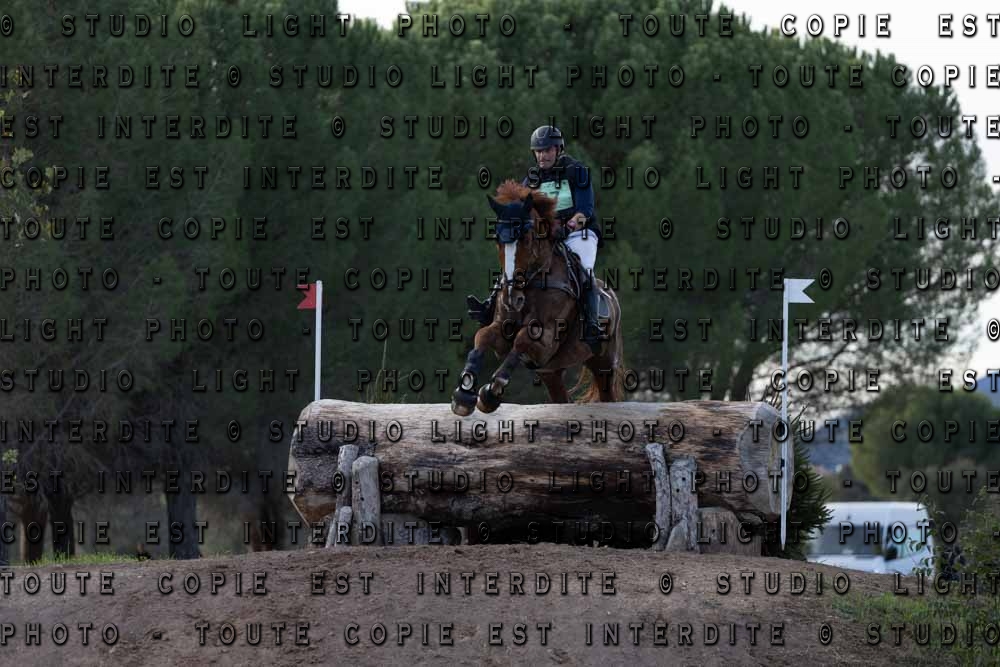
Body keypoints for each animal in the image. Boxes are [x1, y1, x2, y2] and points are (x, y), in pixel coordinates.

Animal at [451, 179, 625, 416]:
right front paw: (464, 393)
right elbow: (483, 336)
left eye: (526, 238)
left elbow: (521, 341)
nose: (511, 299)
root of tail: (611, 296)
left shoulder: (547, 337)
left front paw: (490, 393)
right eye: (497, 239)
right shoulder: (502, 330)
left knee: (609, 394)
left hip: (604, 362)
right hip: (551, 372)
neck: (532, 283)